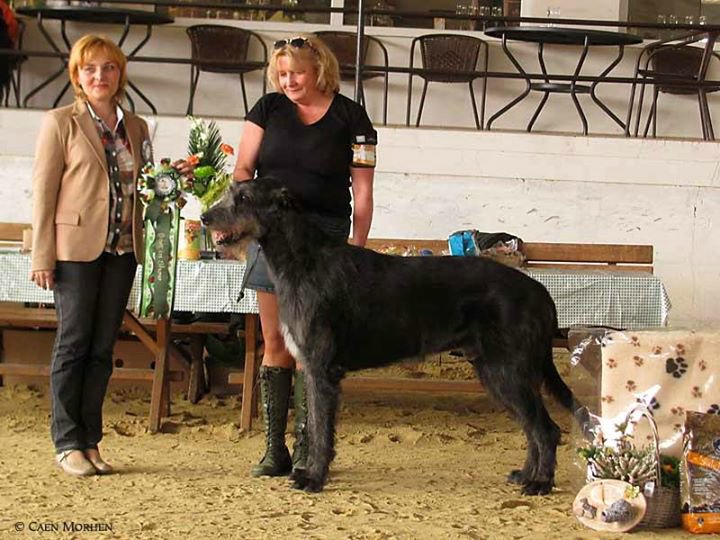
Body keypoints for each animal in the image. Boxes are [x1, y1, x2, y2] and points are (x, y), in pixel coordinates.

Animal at [201, 176, 584, 494]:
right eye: (229, 192)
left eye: (244, 198)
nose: (205, 217)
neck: (303, 259)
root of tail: (540, 292)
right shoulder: (310, 369)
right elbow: (314, 424)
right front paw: (310, 471)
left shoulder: (322, 369)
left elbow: (321, 429)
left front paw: (314, 478)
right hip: (496, 371)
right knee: (532, 427)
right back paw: (526, 474)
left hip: (508, 369)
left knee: (546, 429)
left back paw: (540, 483)